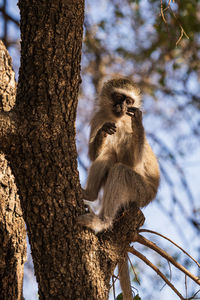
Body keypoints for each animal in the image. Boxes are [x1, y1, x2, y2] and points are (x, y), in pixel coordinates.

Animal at [77, 78, 160, 300]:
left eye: (129, 100)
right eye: (118, 96)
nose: (122, 106)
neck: (118, 119)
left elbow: (133, 163)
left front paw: (139, 122)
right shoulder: (98, 117)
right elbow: (95, 154)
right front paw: (102, 133)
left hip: (141, 192)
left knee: (120, 169)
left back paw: (102, 221)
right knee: (108, 155)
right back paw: (89, 194)